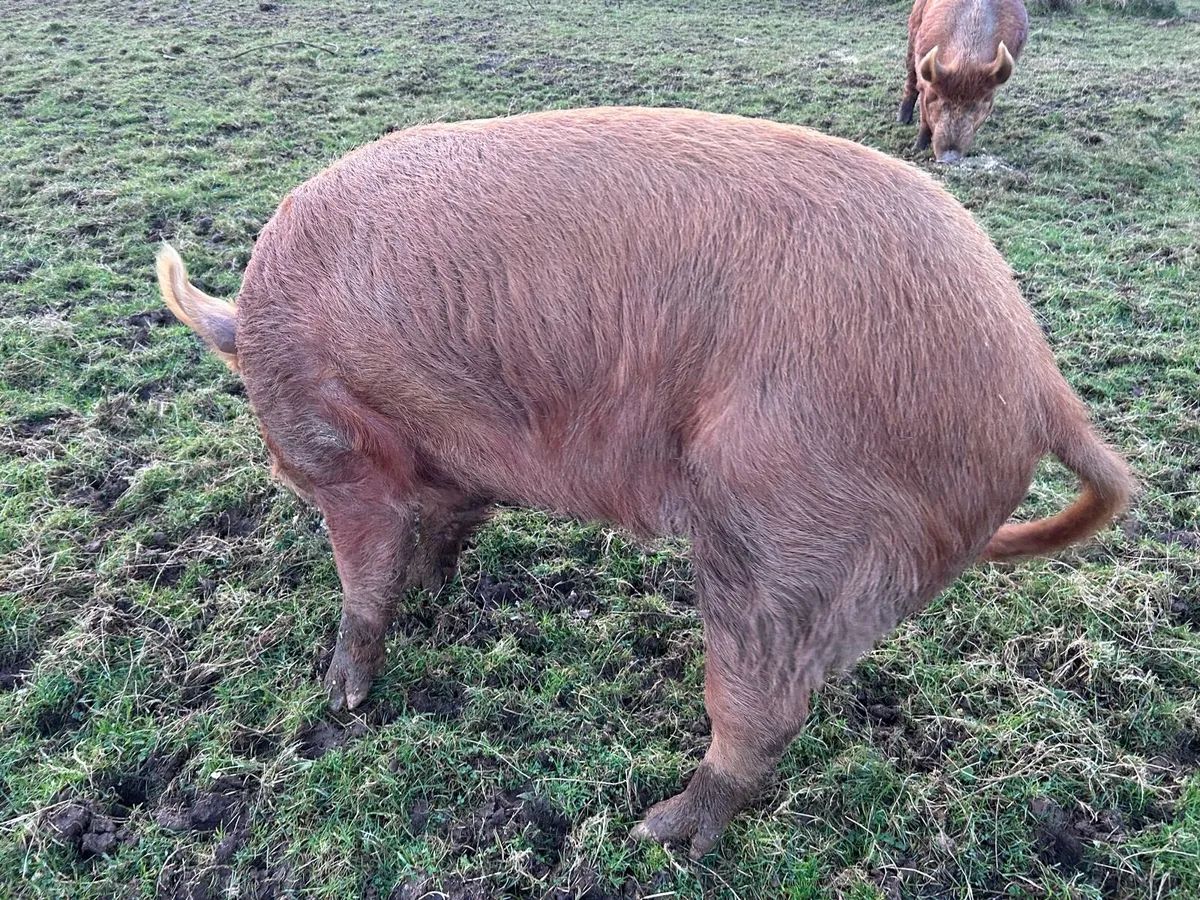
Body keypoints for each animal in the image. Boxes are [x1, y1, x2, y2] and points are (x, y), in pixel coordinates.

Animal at [156, 106, 1133, 858]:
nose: (277, 471)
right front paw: (436, 597)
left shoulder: (346, 453)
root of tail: (1036, 376)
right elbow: (448, 525)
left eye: (286, 463)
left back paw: (658, 833)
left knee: (765, 705)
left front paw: (340, 697)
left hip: (789, 523)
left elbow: (366, 573)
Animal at [898, 0, 1029, 163]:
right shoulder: (925, 83)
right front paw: (916, 150)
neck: (966, 62)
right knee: (910, 76)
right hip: (914, 26)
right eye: (939, 99)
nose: (949, 157)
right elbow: (924, 119)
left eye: (975, 105)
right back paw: (902, 120)